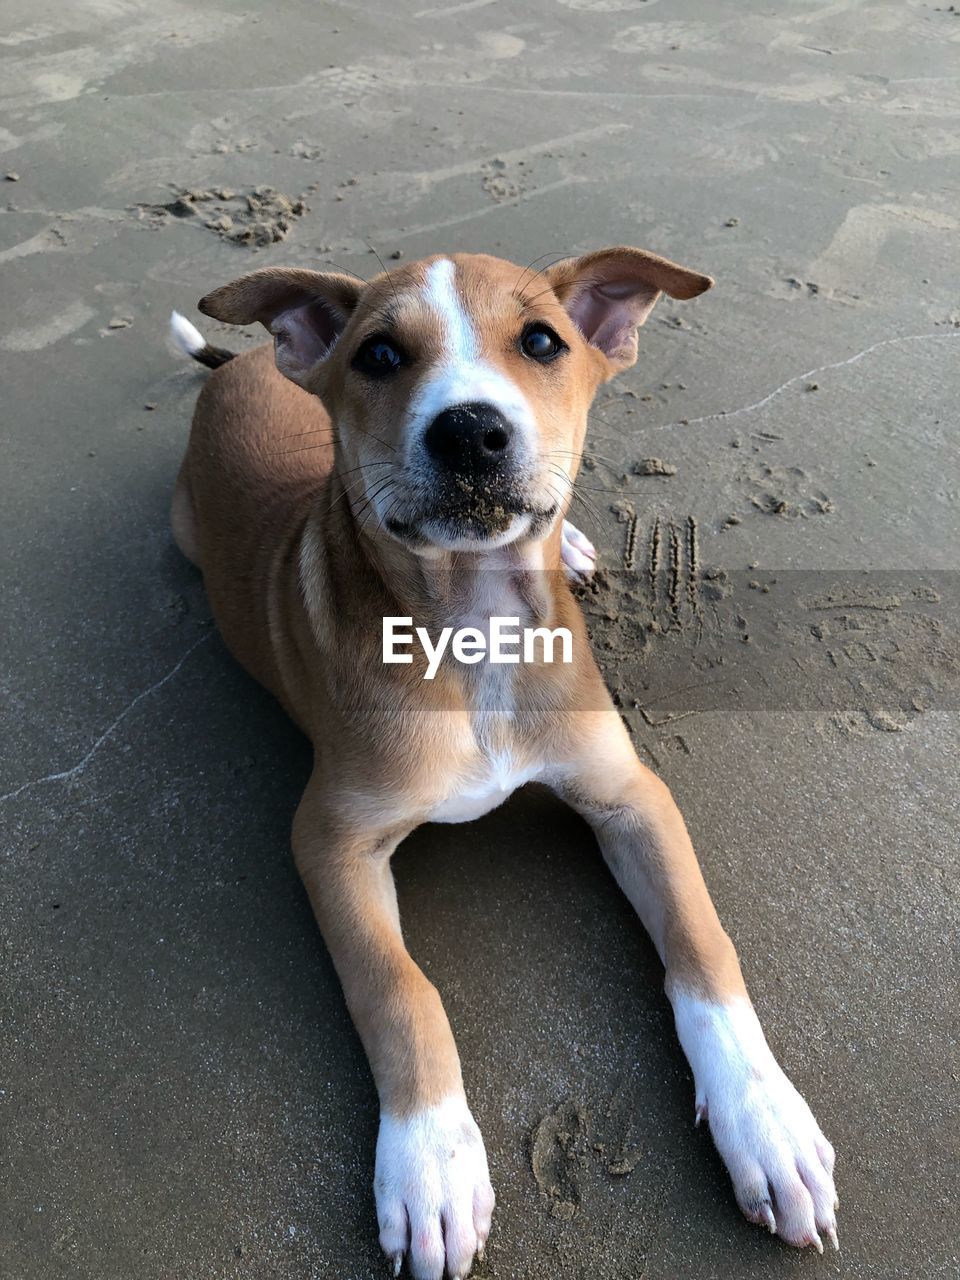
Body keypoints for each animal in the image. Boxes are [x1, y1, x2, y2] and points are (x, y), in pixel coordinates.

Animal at [168, 244, 839, 1274]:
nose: (471, 432)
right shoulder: (329, 841)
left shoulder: (631, 795)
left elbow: (702, 946)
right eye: (378, 355)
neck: (474, 626)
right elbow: (399, 989)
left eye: (542, 342)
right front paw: (431, 1162)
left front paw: (766, 1120)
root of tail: (244, 363)